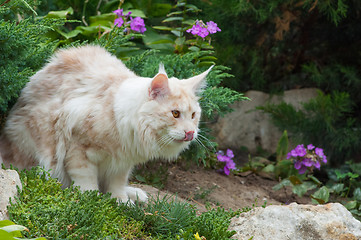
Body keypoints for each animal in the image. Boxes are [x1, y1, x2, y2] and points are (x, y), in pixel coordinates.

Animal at [0, 44, 211, 202]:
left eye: (193, 115)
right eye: (175, 114)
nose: (191, 133)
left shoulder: (123, 162)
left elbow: (116, 184)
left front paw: (120, 201)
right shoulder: (78, 150)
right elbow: (87, 181)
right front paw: (92, 201)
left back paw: (135, 194)